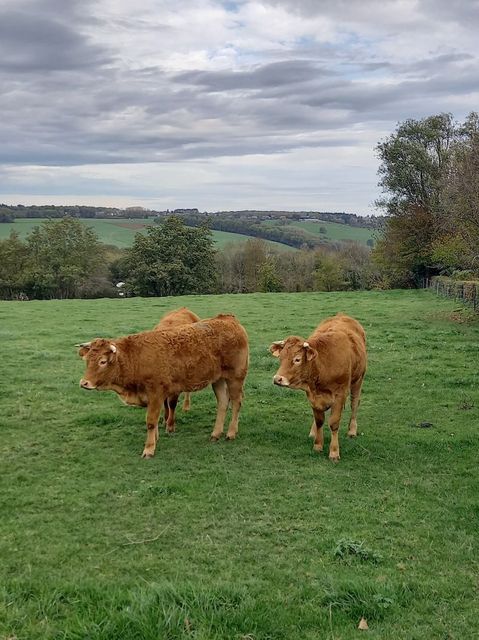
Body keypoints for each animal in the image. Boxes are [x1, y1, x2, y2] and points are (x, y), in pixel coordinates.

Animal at [78, 314, 251, 456]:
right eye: (87, 361)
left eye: (102, 362)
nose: (84, 383)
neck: (135, 358)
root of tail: (228, 318)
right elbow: (155, 421)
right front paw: (156, 438)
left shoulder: (156, 394)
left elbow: (150, 421)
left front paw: (149, 449)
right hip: (218, 380)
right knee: (222, 403)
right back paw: (215, 434)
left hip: (235, 378)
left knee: (236, 402)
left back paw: (231, 433)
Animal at [270, 314, 368, 460]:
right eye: (281, 358)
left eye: (297, 359)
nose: (277, 379)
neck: (323, 364)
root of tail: (342, 315)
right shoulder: (312, 395)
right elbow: (319, 420)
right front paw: (317, 445)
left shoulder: (340, 394)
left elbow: (334, 423)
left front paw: (334, 452)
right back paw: (313, 431)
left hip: (358, 379)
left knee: (355, 403)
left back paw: (352, 430)